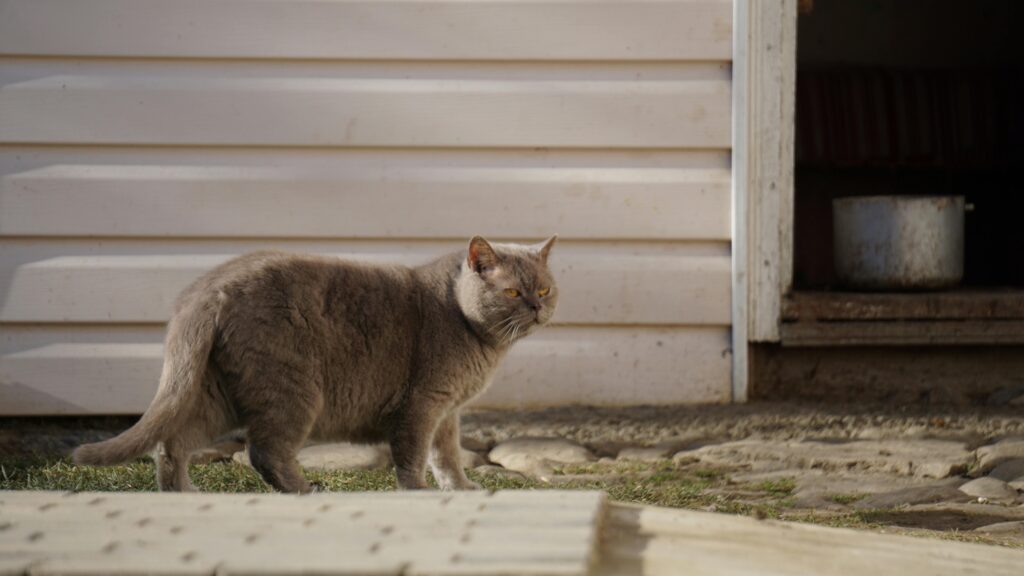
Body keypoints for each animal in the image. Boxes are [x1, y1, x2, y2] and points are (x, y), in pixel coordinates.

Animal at [73, 235, 561, 491]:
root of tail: (205, 289)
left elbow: (448, 456)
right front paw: (418, 493)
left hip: (217, 392)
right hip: (290, 390)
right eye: (513, 292)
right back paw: (304, 491)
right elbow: (413, 456)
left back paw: (183, 495)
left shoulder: (448, 412)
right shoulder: (423, 404)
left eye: (545, 288)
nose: (537, 306)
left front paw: (460, 490)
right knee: (263, 453)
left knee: (171, 441)